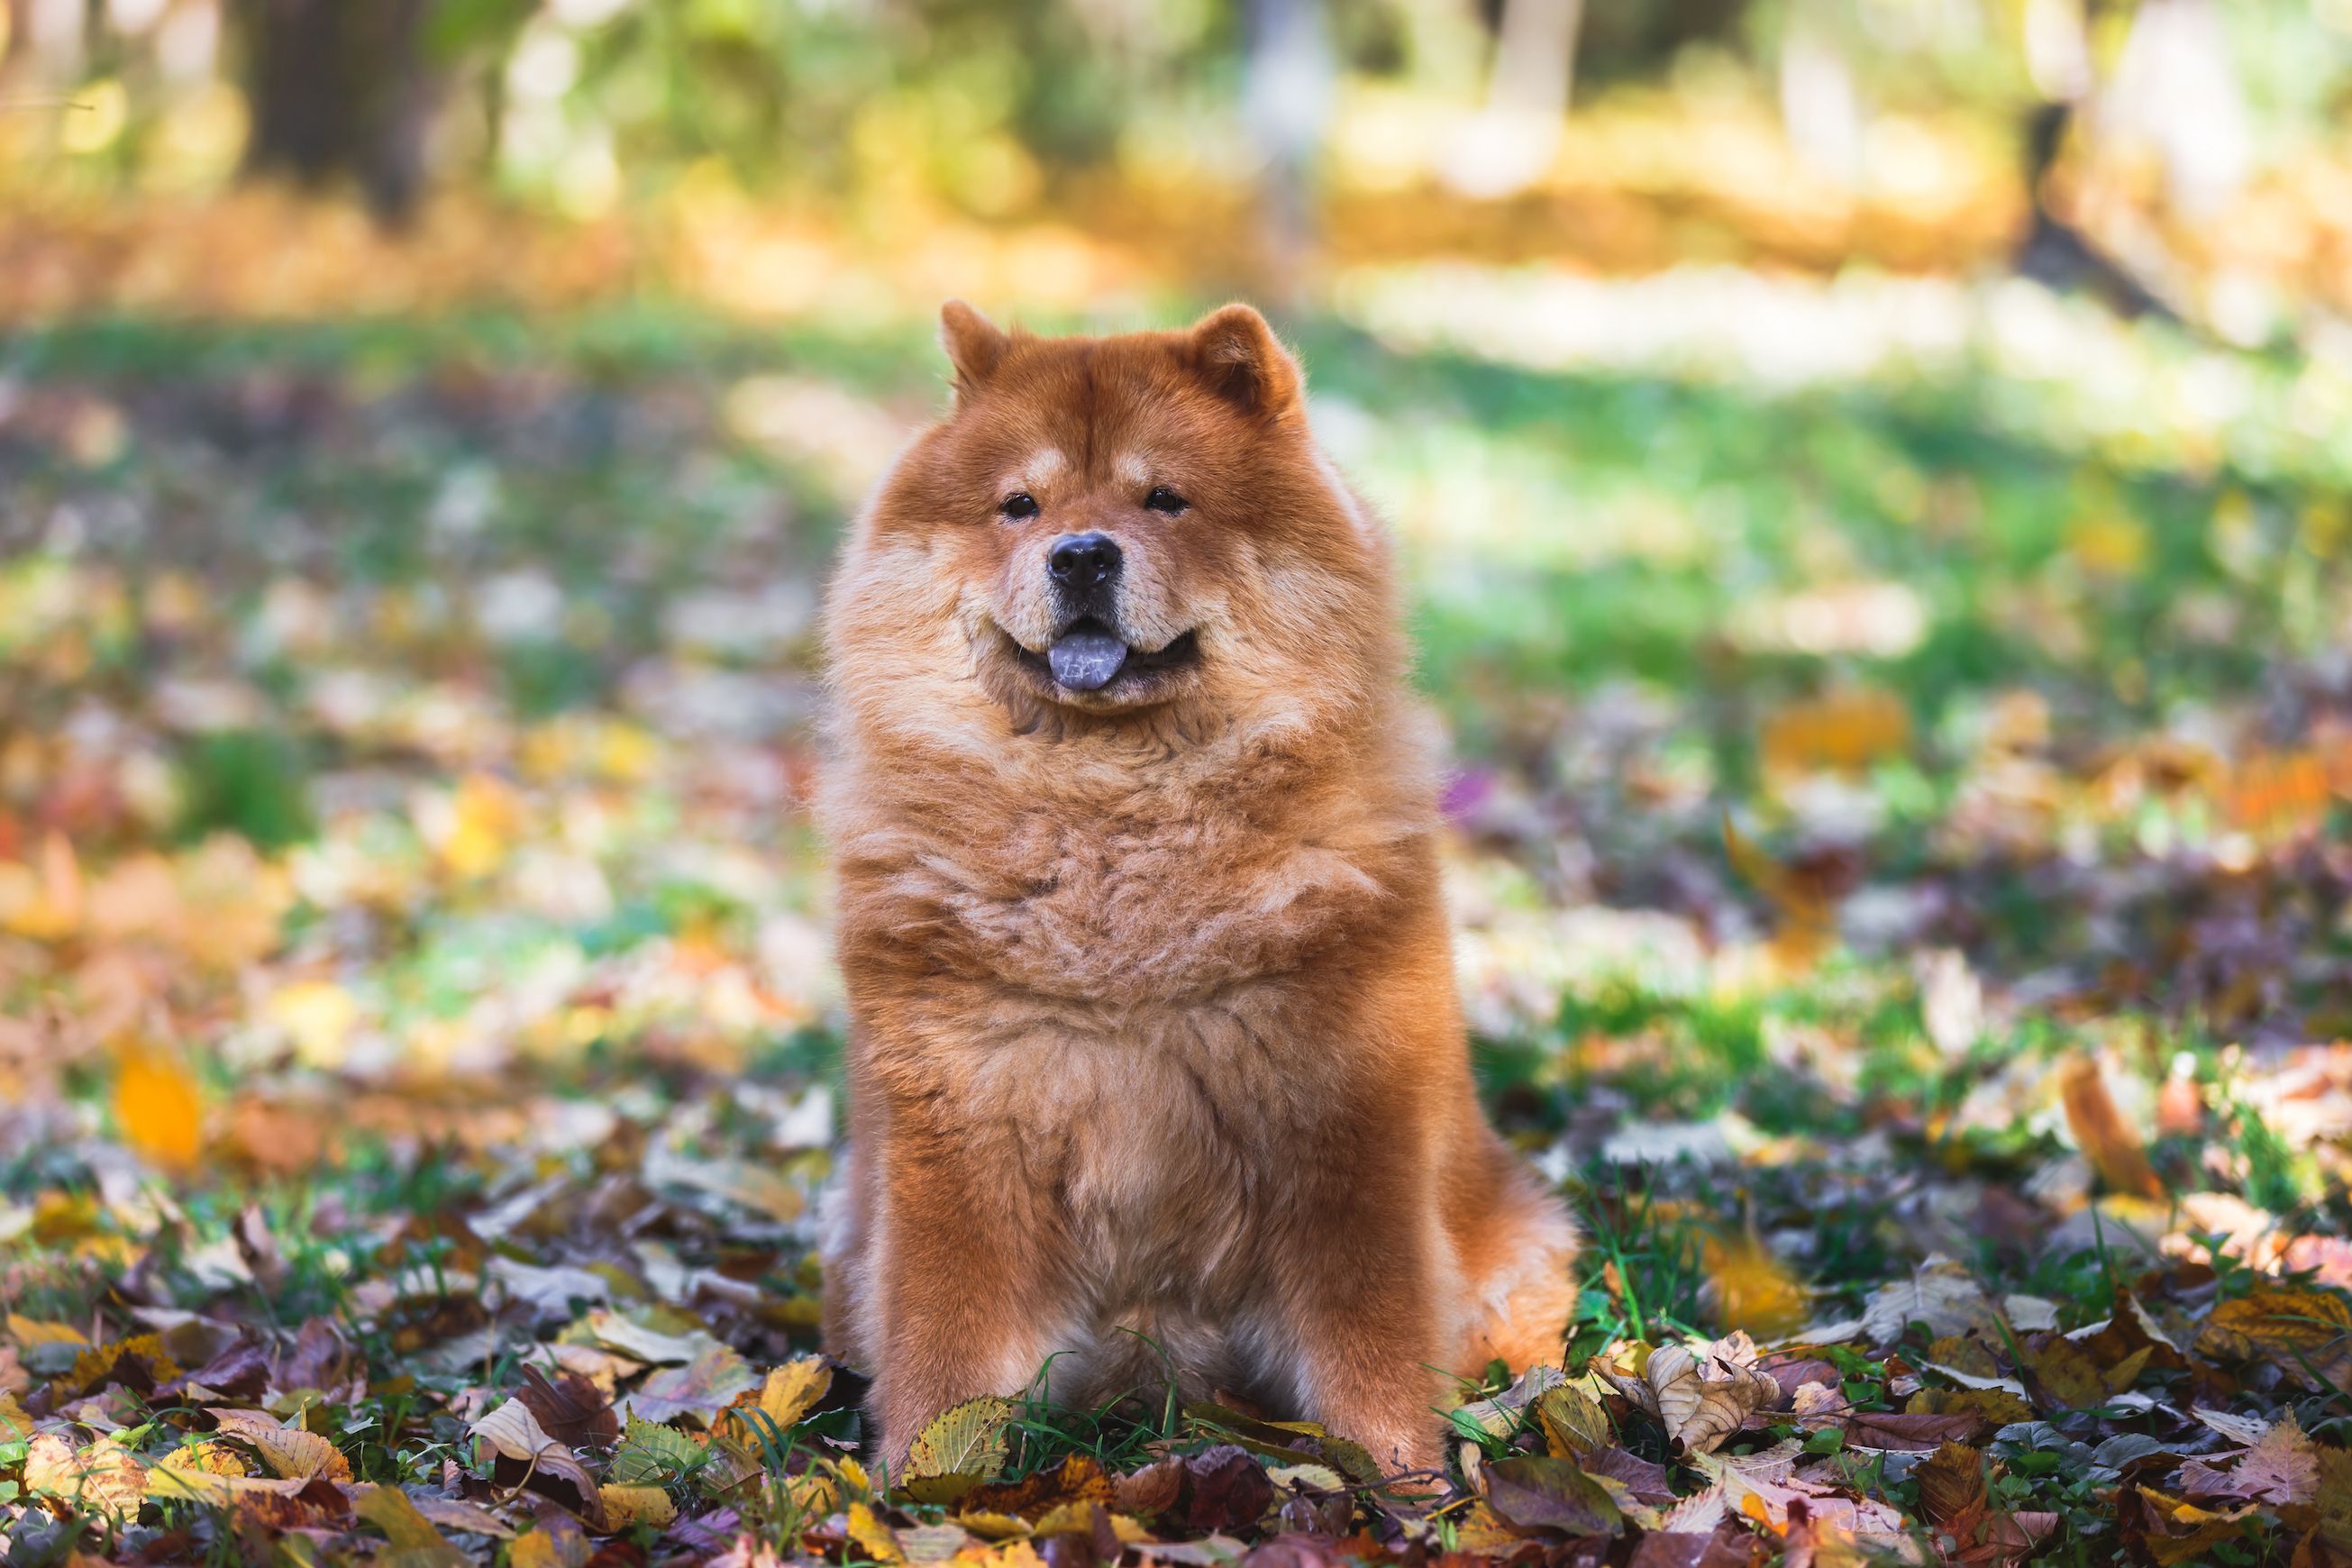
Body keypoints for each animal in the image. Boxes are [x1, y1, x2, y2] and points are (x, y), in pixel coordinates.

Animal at [818, 300, 1571, 1476]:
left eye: (1163, 498)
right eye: (1020, 506)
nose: (1081, 555)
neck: (1115, 827)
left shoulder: (1343, 1128)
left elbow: (1371, 1336)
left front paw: (1402, 1480)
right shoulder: (964, 1140)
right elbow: (946, 1342)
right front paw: (920, 1486)